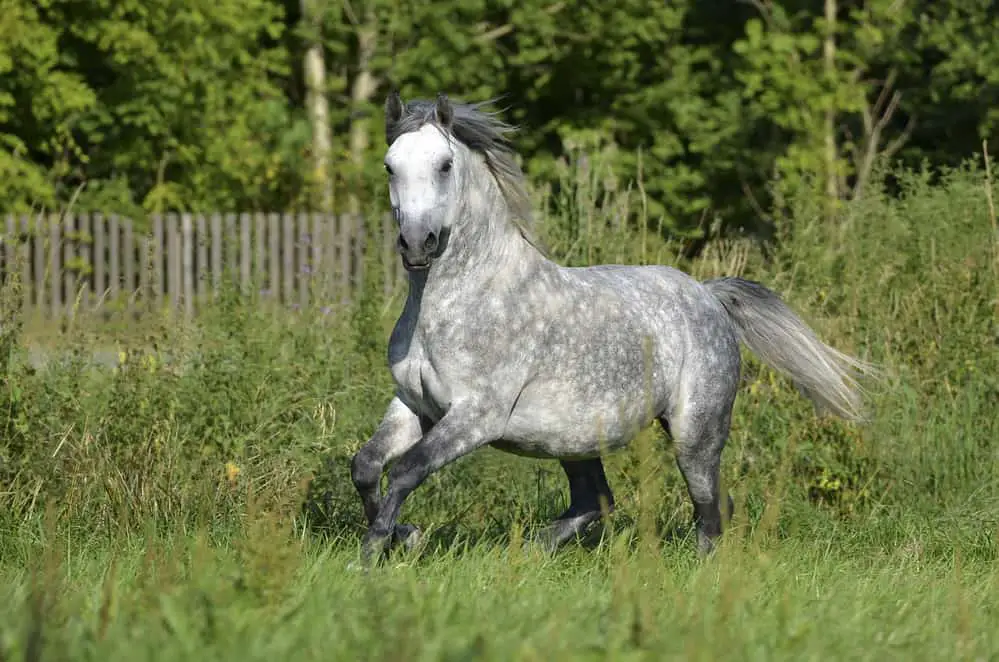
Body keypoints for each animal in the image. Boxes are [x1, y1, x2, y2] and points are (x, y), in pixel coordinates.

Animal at [350, 91, 876, 564]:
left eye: (444, 165)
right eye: (390, 166)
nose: (417, 244)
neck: (464, 302)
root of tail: (708, 295)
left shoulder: (476, 416)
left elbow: (406, 470)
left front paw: (375, 553)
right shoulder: (414, 406)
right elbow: (366, 466)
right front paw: (404, 536)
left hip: (694, 432)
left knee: (709, 510)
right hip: (570, 437)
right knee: (598, 500)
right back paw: (524, 555)